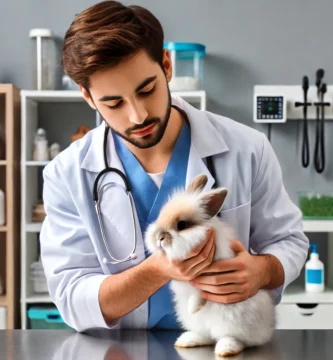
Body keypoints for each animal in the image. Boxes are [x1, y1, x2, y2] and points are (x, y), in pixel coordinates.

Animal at [145, 174, 274, 358]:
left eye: (181, 225)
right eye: (160, 218)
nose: (159, 237)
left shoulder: (213, 275)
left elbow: (200, 292)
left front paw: (194, 306)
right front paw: (193, 309)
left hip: (236, 318)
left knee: (236, 338)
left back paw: (226, 349)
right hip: (199, 323)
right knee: (207, 335)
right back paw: (187, 340)